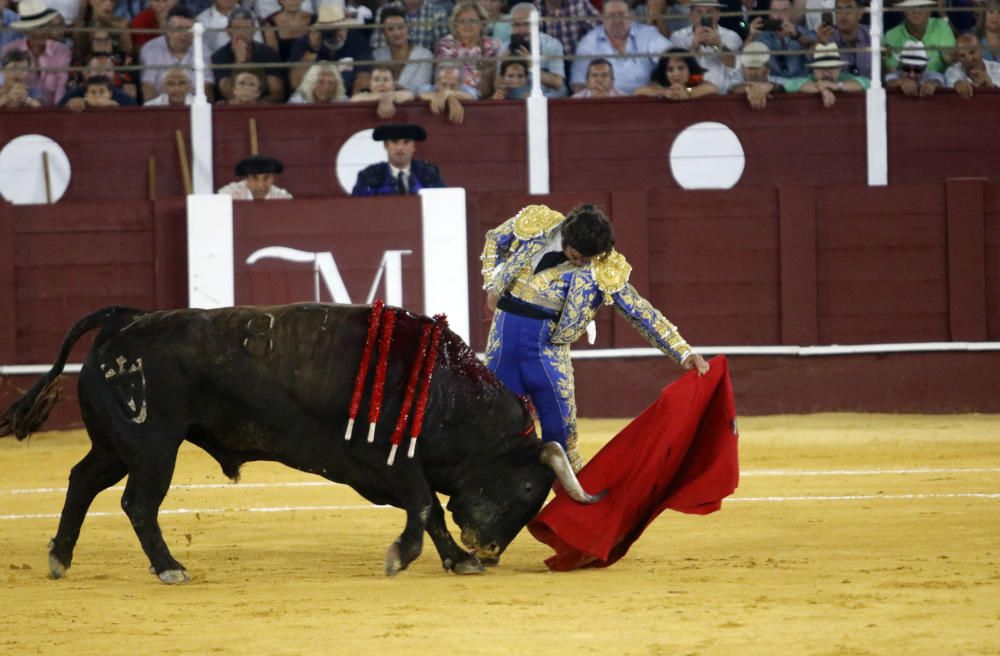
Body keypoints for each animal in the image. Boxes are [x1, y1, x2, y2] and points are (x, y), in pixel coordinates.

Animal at [0, 304, 600, 580]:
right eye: (530, 488)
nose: (490, 551)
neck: (442, 388)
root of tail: (123, 320)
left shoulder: (394, 466)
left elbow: (425, 507)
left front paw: (452, 559)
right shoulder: (386, 461)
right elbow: (425, 504)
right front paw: (409, 557)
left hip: (115, 446)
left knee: (82, 481)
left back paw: (60, 558)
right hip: (153, 448)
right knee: (138, 503)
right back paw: (169, 567)